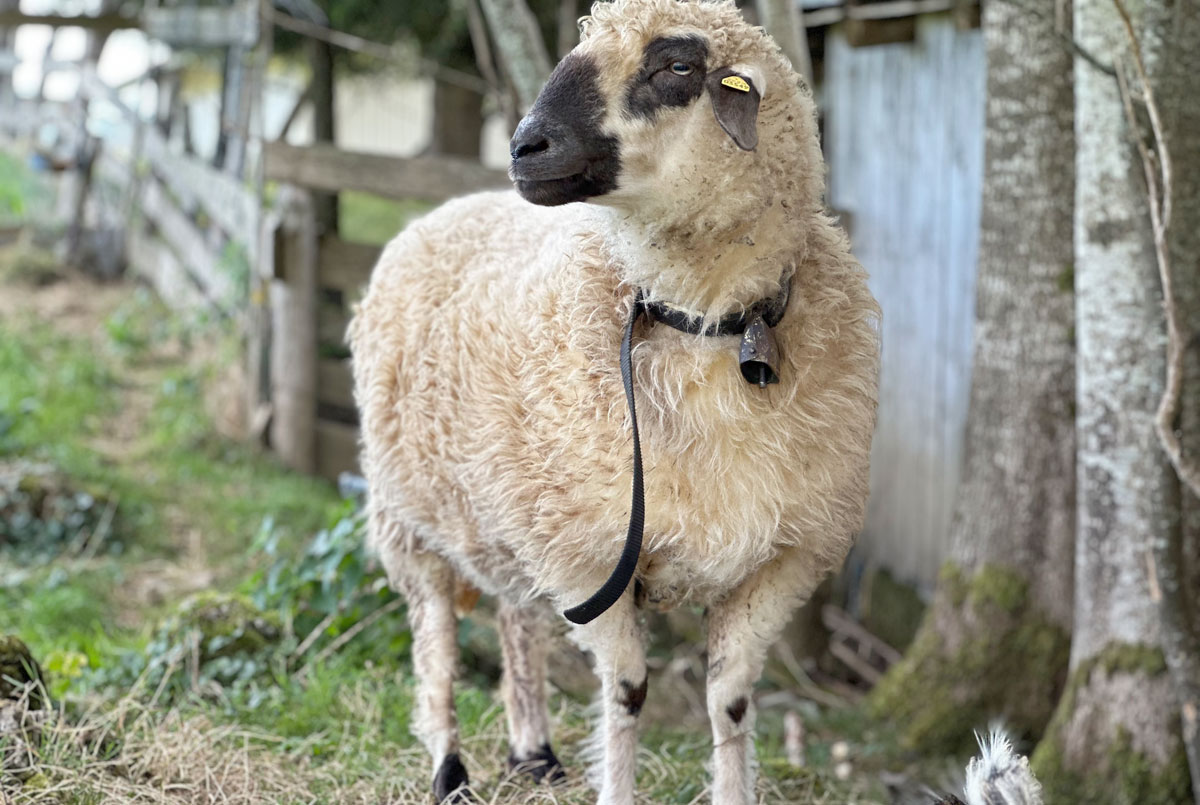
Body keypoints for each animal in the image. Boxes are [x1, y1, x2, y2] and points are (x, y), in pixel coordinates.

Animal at [348, 0, 880, 801]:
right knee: (436, 643)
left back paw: (533, 751)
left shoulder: (781, 559)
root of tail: (449, 208)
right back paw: (449, 769)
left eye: (677, 66)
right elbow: (627, 693)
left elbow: (731, 701)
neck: (703, 322)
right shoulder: (590, 555)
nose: (524, 146)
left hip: (512, 506)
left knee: (516, 618)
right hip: (412, 516)